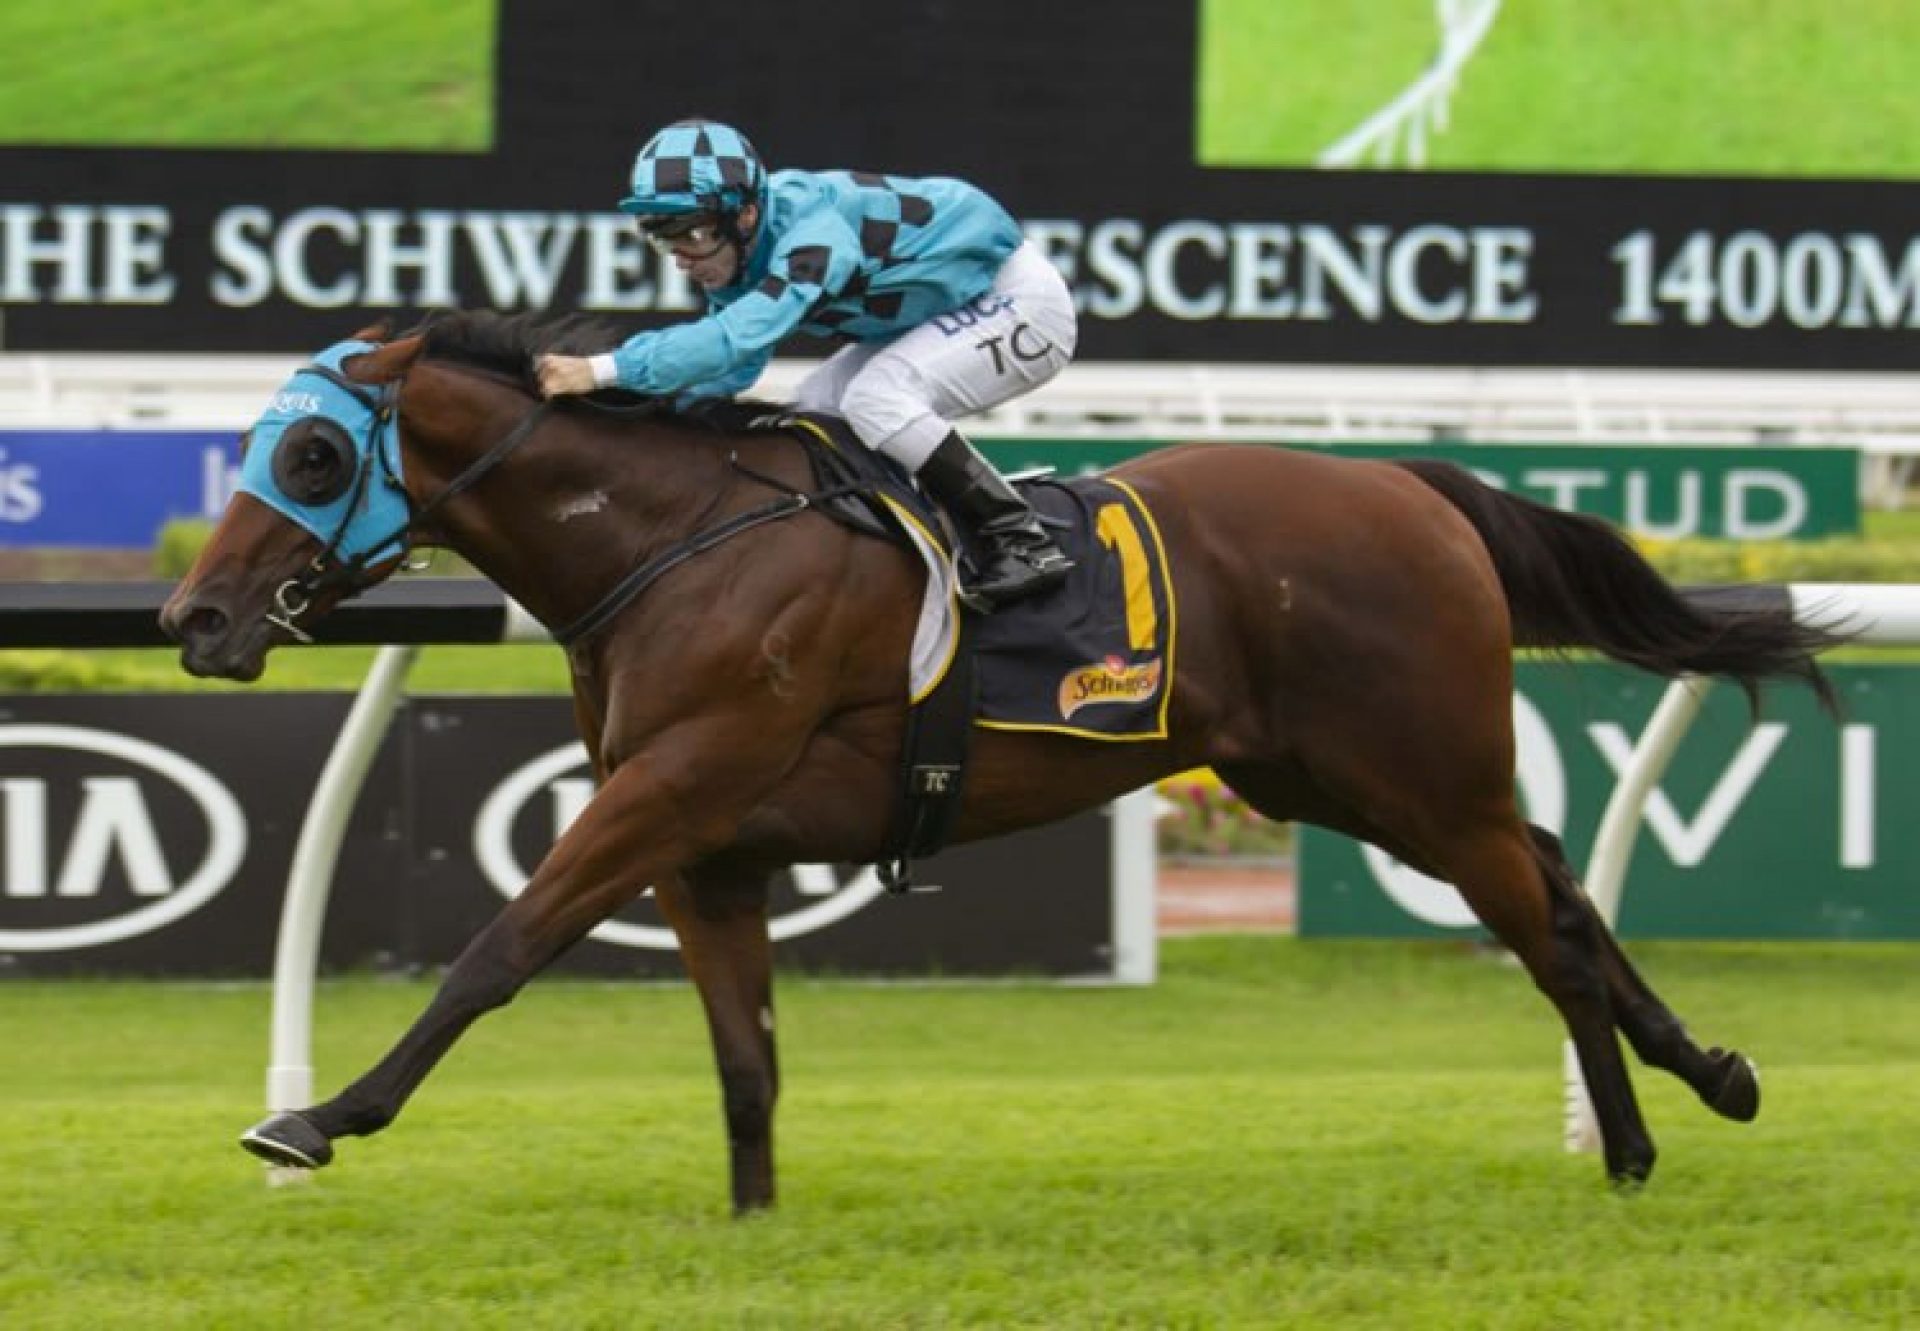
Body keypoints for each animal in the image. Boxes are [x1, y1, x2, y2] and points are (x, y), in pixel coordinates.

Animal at [161, 309, 1843, 1206]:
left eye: (310, 451)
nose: (193, 614)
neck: (675, 540)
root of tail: (1418, 487)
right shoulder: (710, 845)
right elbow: (746, 1056)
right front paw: (752, 1227)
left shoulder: (667, 790)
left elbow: (494, 951)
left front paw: (313, 1118)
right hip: (1338, 777)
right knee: (1562, 880)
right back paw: (1715, 1072)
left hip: (1418, 773)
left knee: (1545, 923)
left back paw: (1635, 1141)